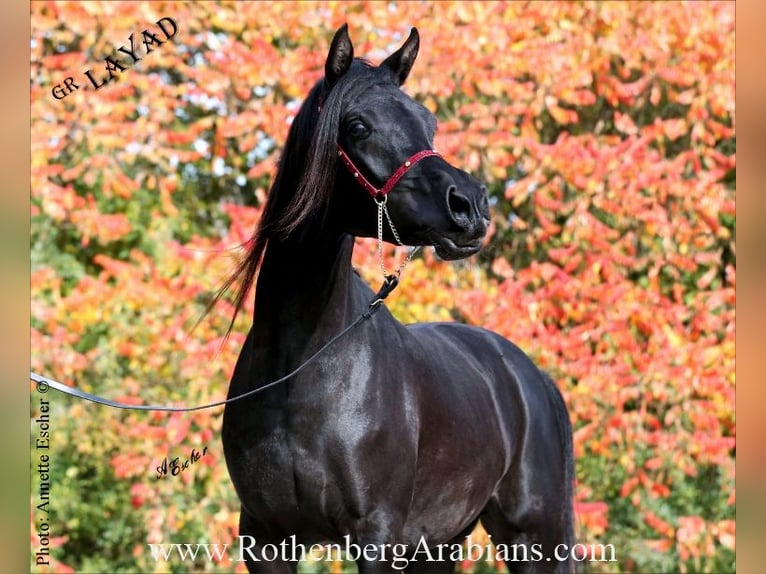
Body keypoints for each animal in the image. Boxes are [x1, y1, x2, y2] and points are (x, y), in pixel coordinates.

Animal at [219, 24, 575, 574]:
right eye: (358, 126)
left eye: (428, 121)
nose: (470, 206)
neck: (300, 367)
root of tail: (530, 375)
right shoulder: (265, 538)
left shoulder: (377, 536)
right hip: (439, 543)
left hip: (534, 537)